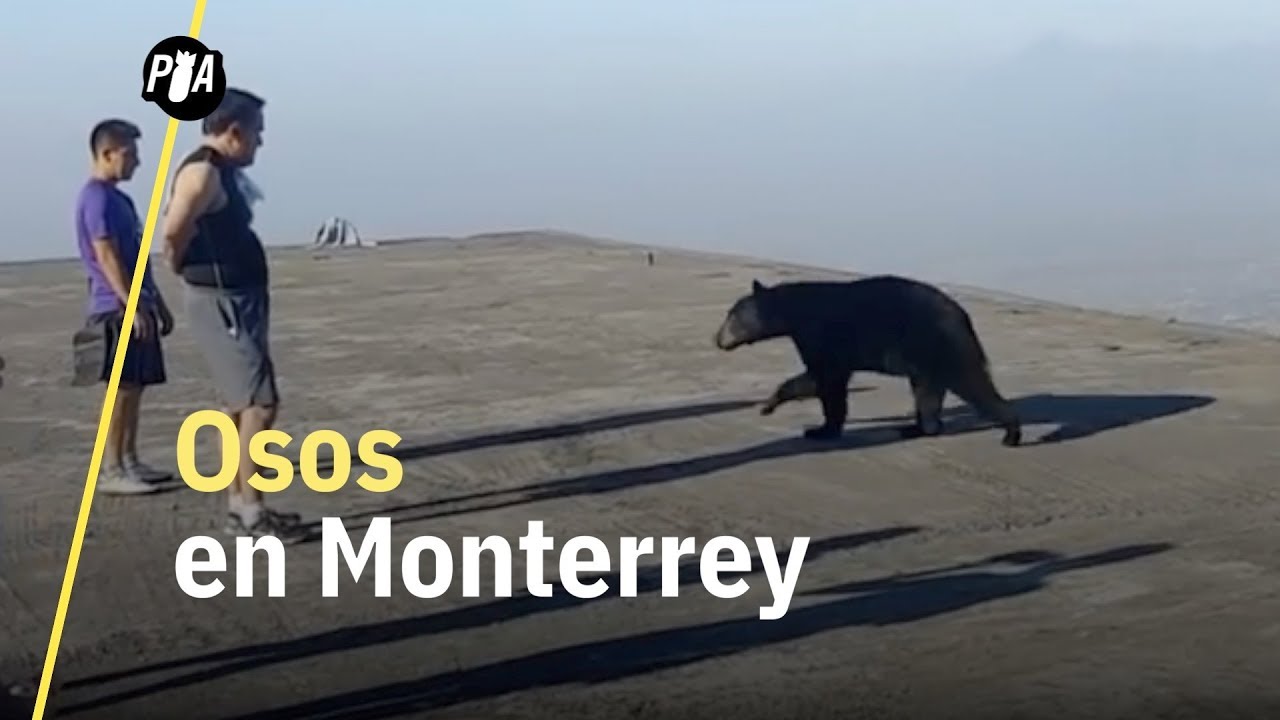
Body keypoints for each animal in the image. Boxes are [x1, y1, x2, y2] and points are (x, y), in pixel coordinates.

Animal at [714, 275, 1022, 447]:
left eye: (731, 317)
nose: (717, 339)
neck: (797, 311)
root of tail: (963, 317)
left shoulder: (822, 335)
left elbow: (822, 379)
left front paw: (806, 423)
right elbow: (829, 383)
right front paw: (823, 426)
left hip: (941, 346)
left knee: (971, 382)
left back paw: (1011, 433)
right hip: (927, 359)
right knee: (927, 393)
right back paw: (917, 428)